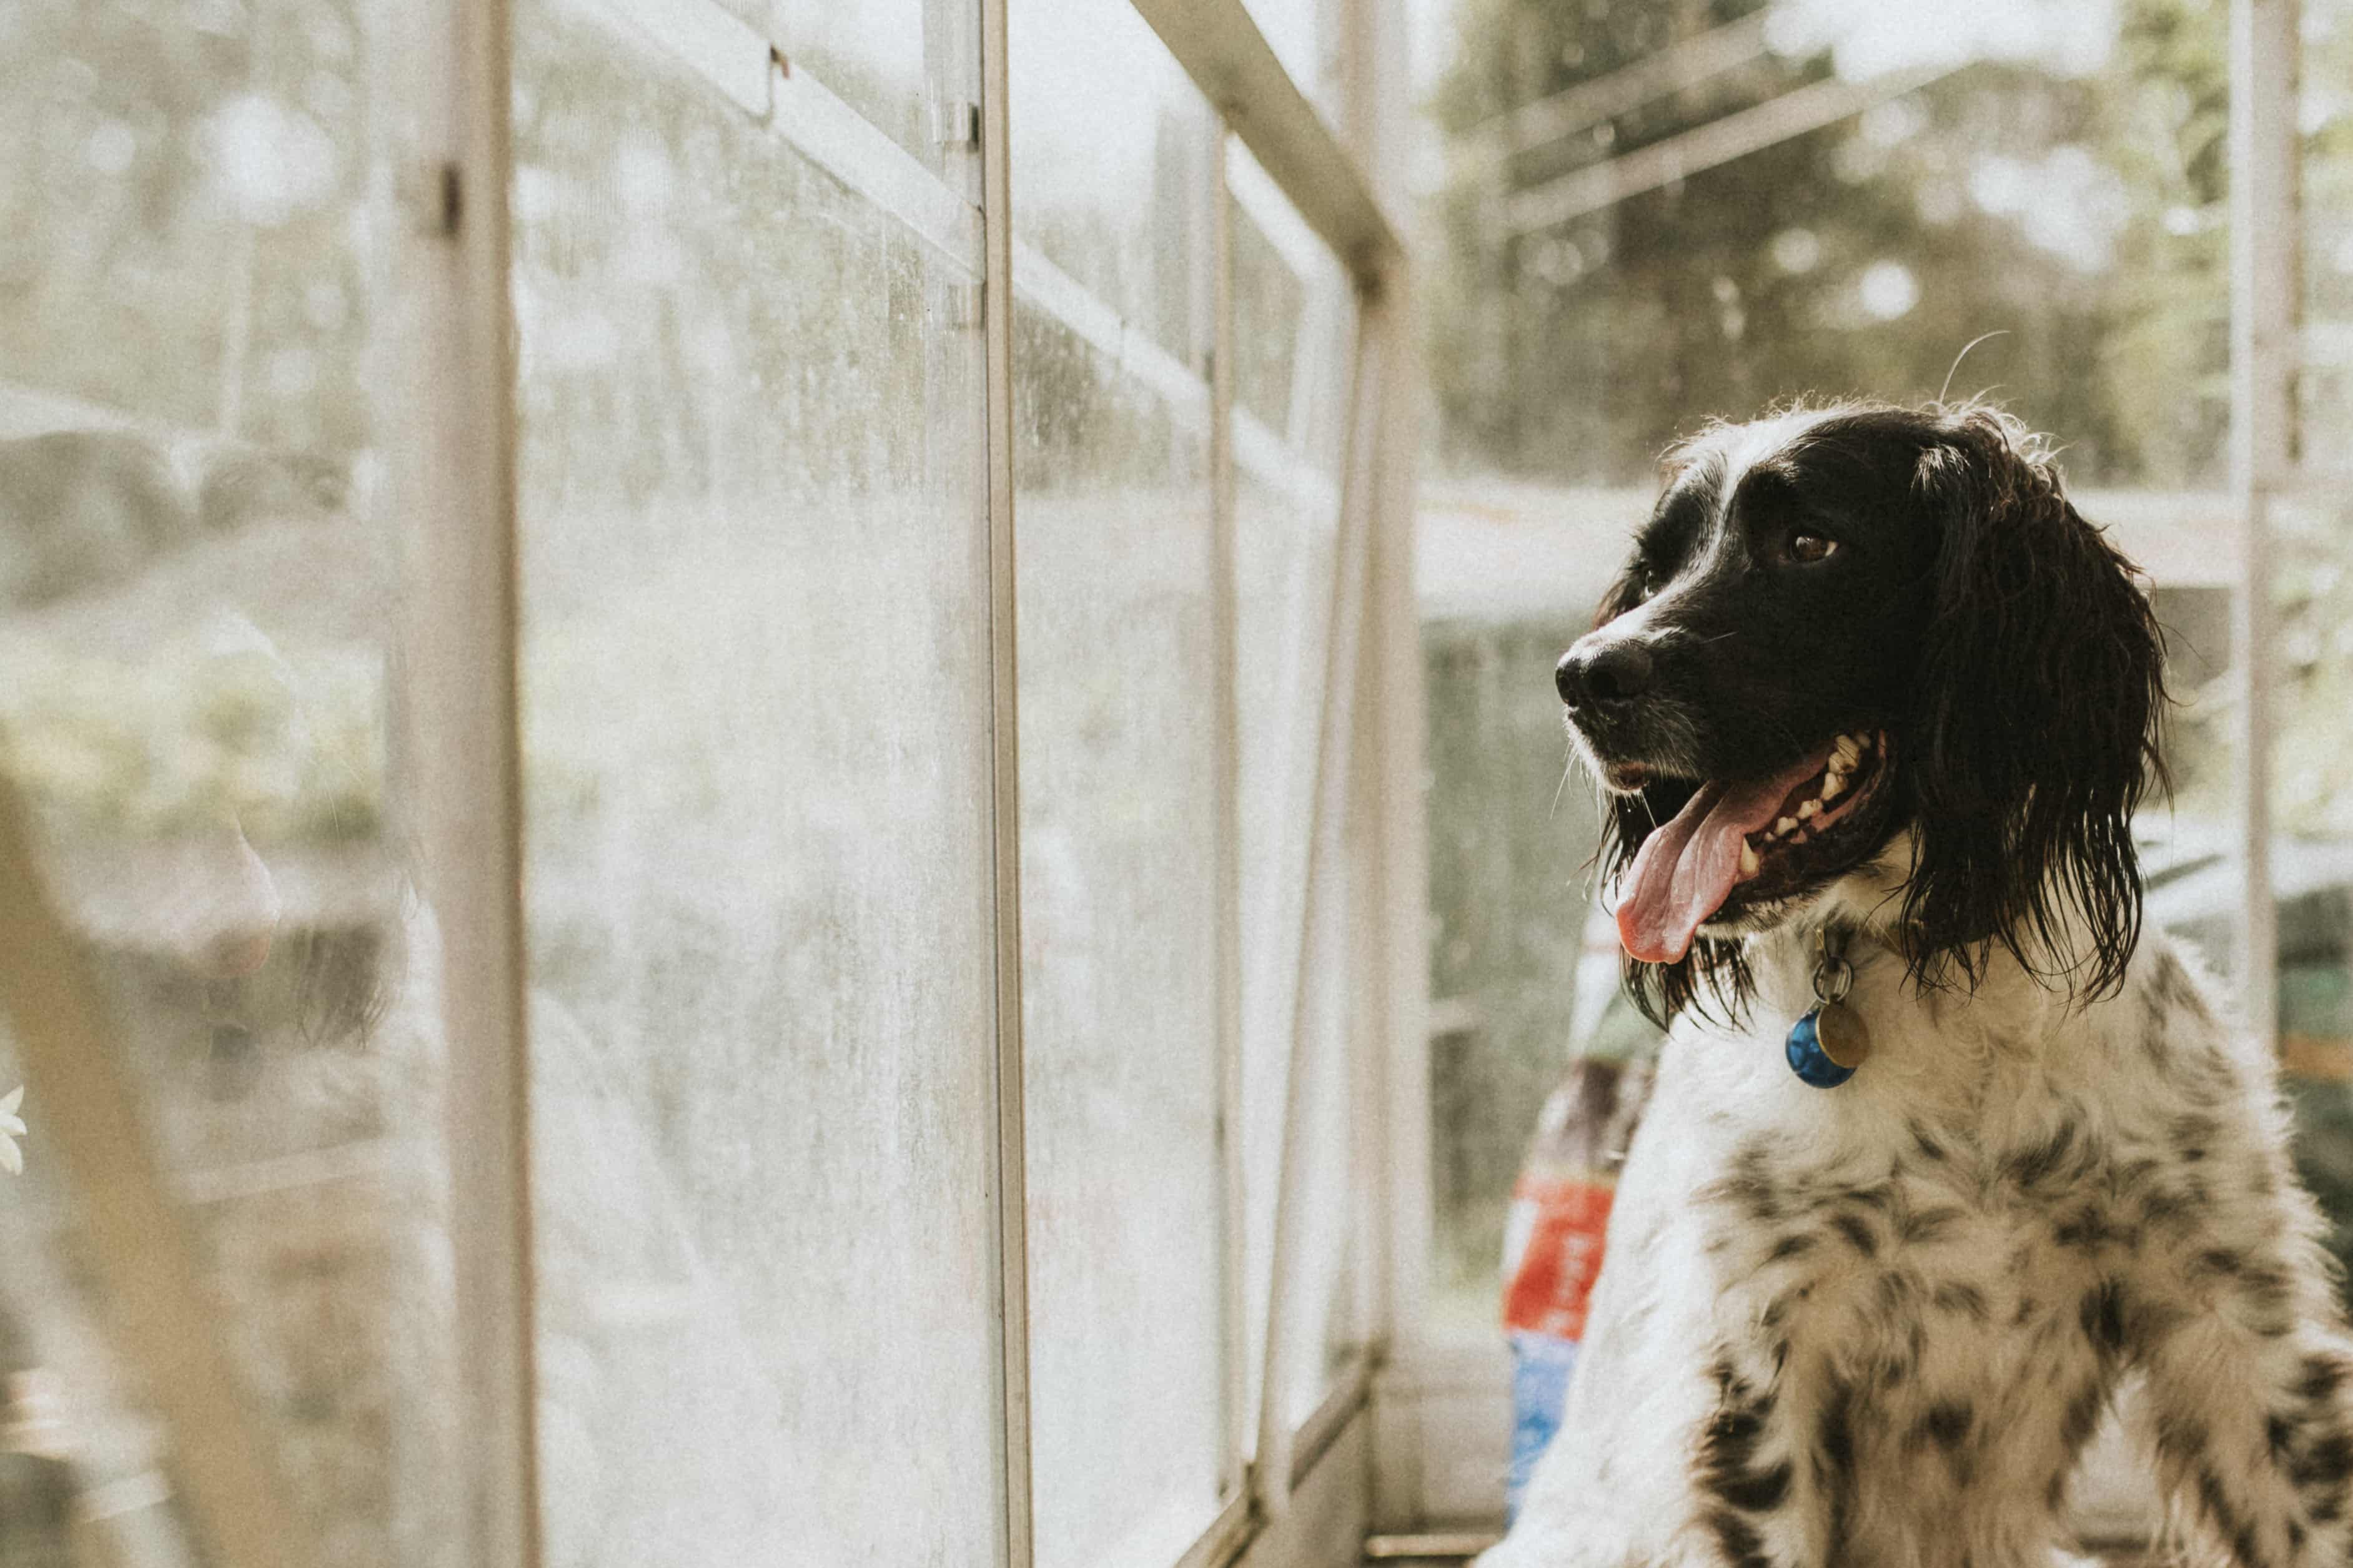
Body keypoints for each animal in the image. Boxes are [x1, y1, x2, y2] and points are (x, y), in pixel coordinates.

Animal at [1487, 402, 2353, 1568]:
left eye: (1808, 543)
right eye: (1653, 567)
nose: (1582, 677)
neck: (1937, 977)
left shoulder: (2230, 1327)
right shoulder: (1755, 1366)